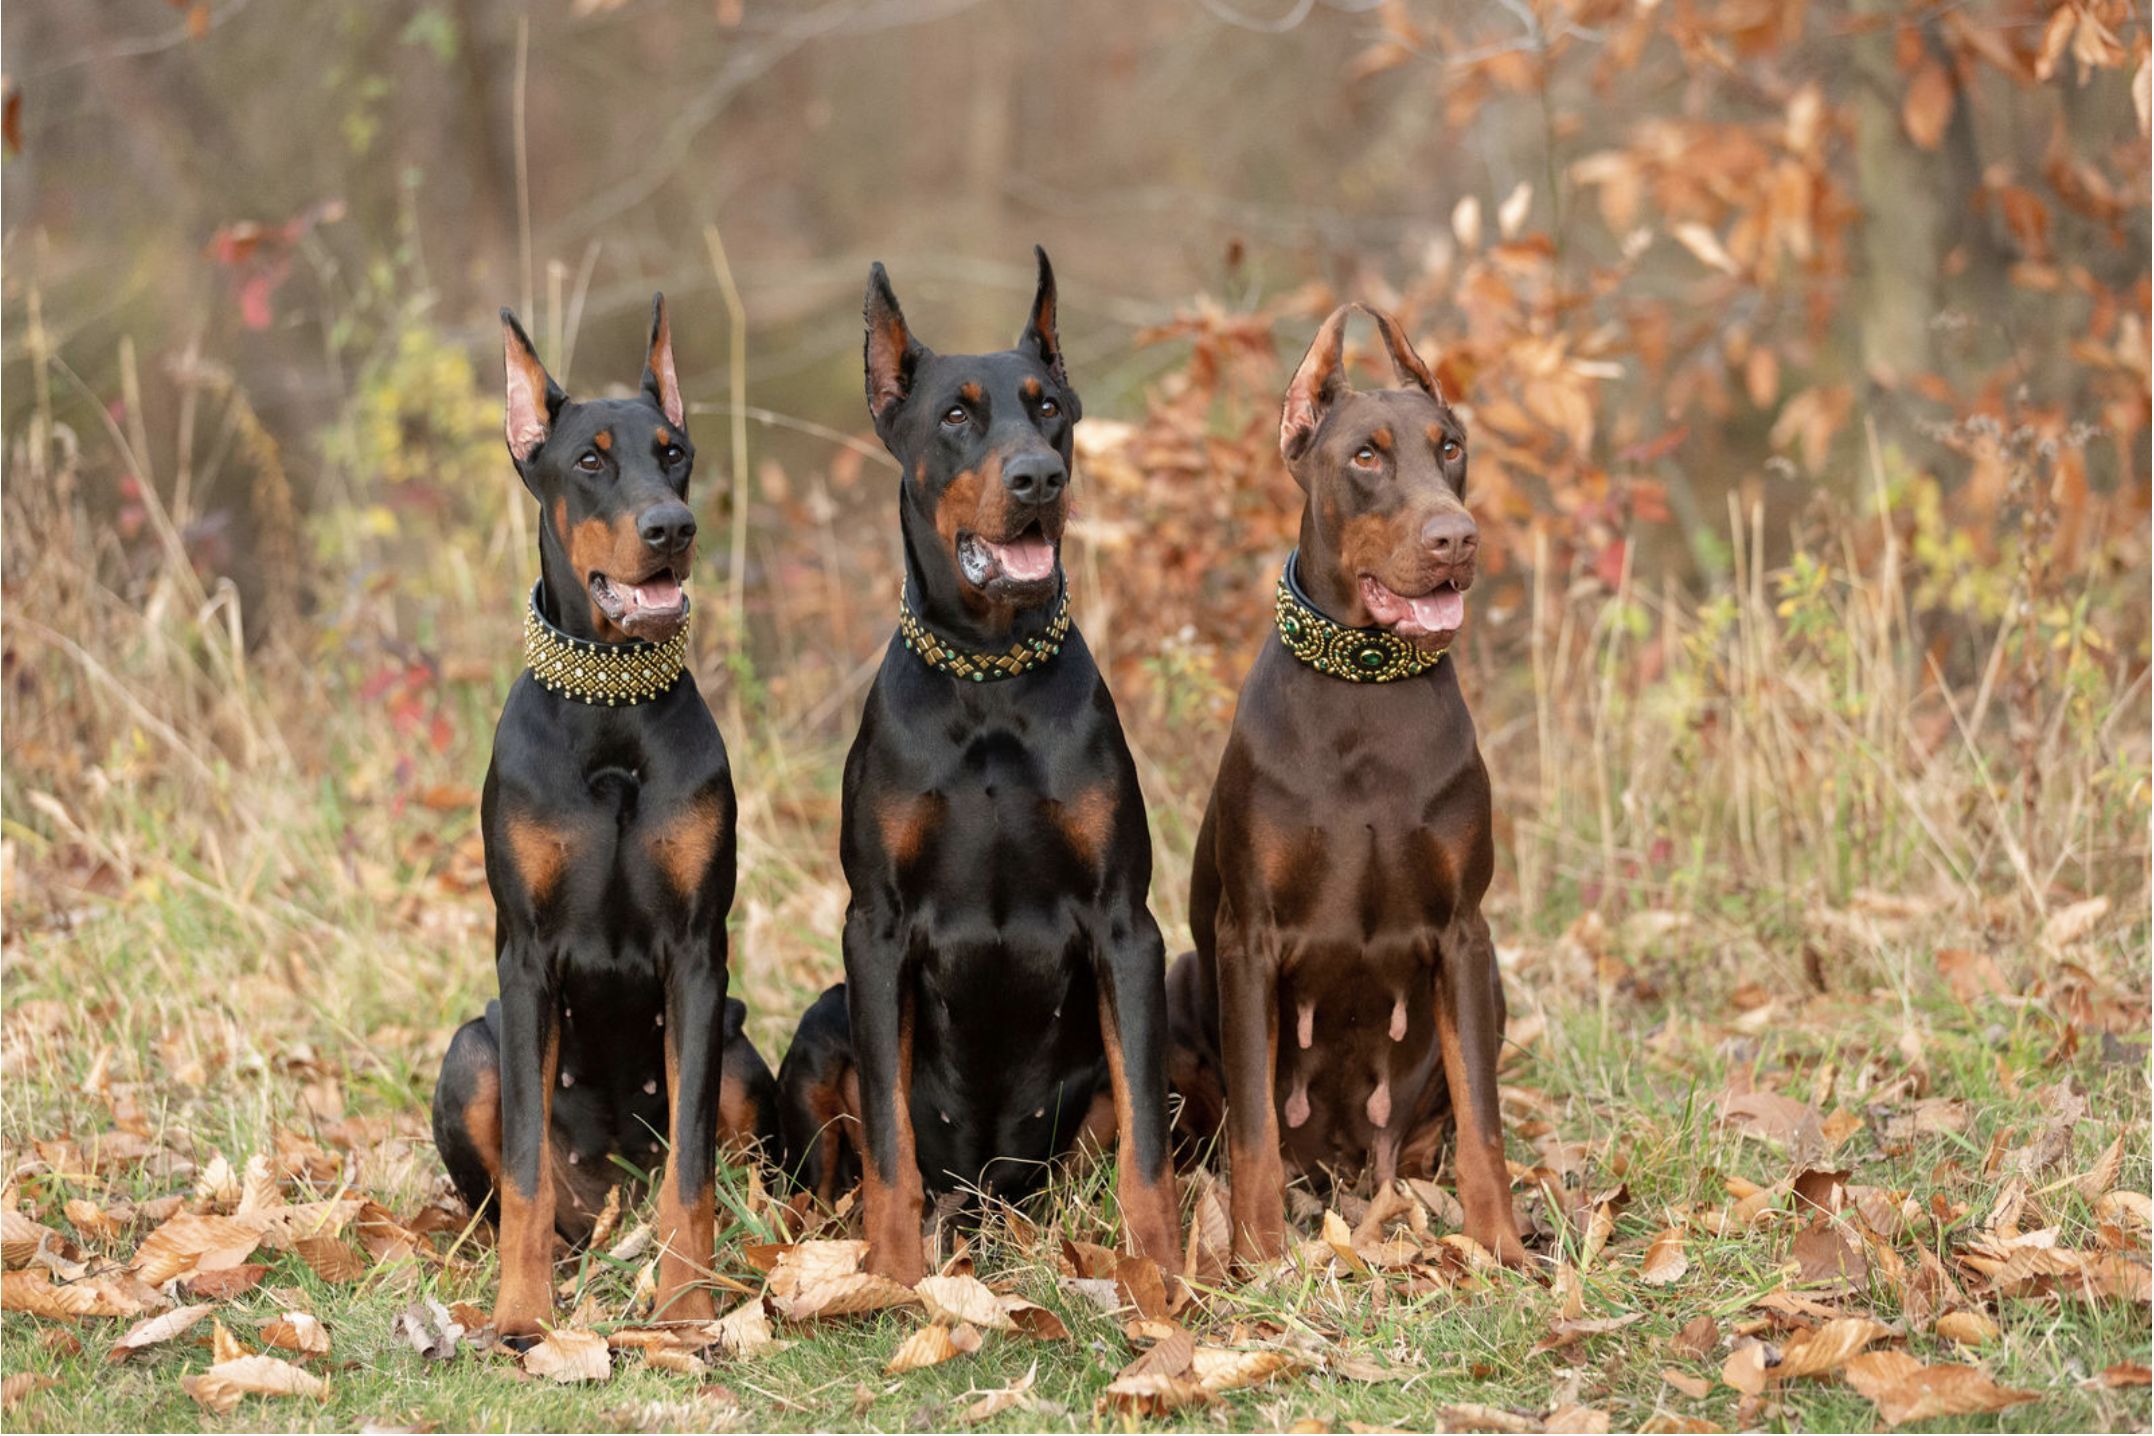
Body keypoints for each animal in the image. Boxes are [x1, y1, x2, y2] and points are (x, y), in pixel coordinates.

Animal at [428, 297, 775, 1343]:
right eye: (590, 460)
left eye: (676, 454)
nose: (673, 526)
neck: (611, 707)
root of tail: (606, 1205)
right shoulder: (526, 955)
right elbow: (526, 1172)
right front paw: (522, 1312)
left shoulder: (700, 955)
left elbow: (692, 1174)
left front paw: (686, 1307)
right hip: (471, 1054)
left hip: (739, 1049)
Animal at [1163, 305, 1533, 1265]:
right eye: (1366, 456)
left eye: (1451, 447)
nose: (1455, 538)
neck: (1365, 684)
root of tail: (1339, 1159)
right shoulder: (1246, 938)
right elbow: (1256, 1125)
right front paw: (1257, 1258)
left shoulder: (1465, 933)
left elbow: (1485, 1118)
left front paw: (1501, 1249)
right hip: (1183, 975)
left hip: (1490, 984)